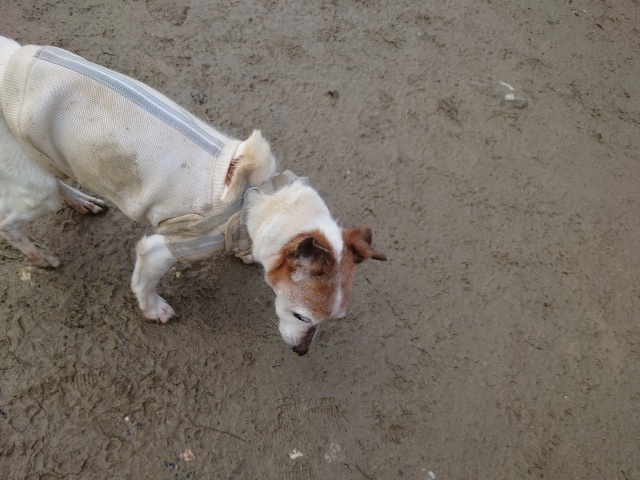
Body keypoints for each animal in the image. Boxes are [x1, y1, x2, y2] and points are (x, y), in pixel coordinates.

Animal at [0, 36, 386, 356]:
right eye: (301, 316)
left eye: (332, 320)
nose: (302, 353)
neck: (253, 197)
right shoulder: (164, 247)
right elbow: (144, 283)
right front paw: (153, 309)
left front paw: (246, 253)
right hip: (36, 192)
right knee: (9, 223)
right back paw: (39, 254)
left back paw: (81, 200)